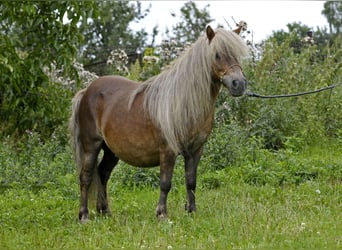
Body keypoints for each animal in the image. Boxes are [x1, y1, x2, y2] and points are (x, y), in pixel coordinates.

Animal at [69, 25, 248, 222]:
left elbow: (191, 181)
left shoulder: (195, 151)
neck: (184, 102)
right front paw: (162, 214)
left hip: (111, 150)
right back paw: (84, 216)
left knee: (103, 173)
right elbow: (165, 183)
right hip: (91, 146)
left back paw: (105, 211)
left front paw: (191, 211)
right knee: (85, 177)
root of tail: (86, 91)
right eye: (217, 55)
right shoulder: (168, 151)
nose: (239, 84)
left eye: (238, 54)